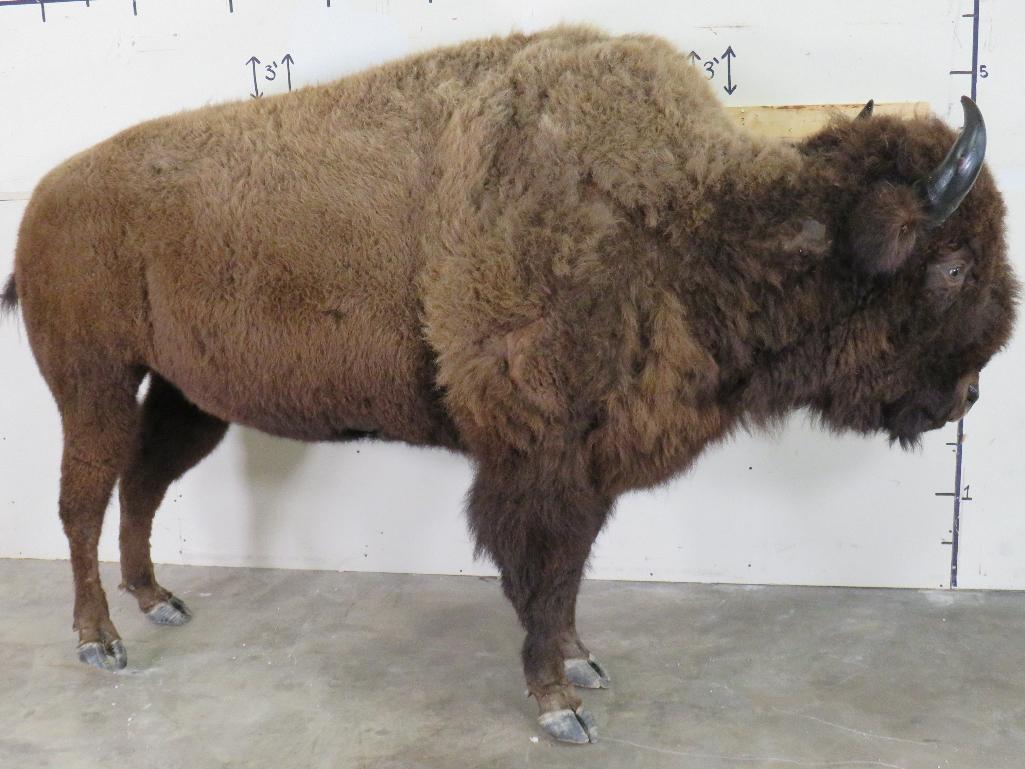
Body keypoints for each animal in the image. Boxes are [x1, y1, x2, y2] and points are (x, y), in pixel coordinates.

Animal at [4, 27, 1016, 742]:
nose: (966, 397)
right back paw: (101, 640)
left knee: (142, 483)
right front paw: (558, 702)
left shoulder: (587, 465)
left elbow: (568, 578)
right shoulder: (540, 461)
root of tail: (45, 197)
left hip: (187, 397)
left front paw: (582, 663)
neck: (693, 218)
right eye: (952, 267)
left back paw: (156, 600)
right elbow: (542, 573)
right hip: (92, 386)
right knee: (82, 501)